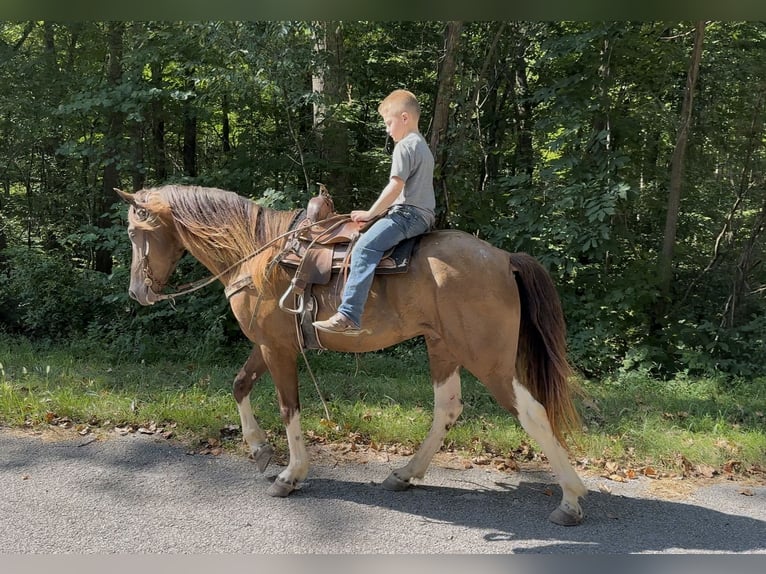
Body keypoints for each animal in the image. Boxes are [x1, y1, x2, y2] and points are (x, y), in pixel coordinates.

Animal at [116, 184, 587, 526]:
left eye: (135, 233)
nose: (137, 293)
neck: (257, 253)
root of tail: (504, 258)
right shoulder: (269, 343)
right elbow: (240, 385)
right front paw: (260, 450)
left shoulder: (277, 349)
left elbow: (289, 408)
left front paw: (290, 474)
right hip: (442, 347)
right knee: (447, 409)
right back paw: (404, 474)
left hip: (488, 359)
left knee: (533, 414)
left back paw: (570, 499)